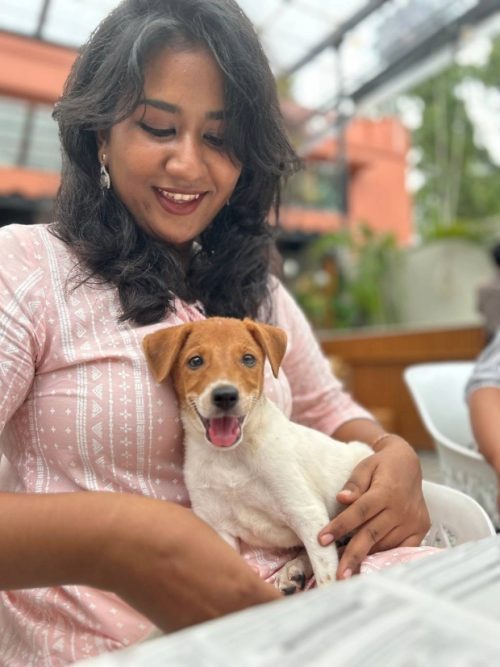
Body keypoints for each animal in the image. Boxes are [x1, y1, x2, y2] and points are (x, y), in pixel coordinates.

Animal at [143, 318, 374, 596]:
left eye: (248, 359)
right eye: (195, 361)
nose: (225, 395)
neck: (231, 458)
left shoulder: (307, 513)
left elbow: (325, 572)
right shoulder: (219, 527)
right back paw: (293, 572)